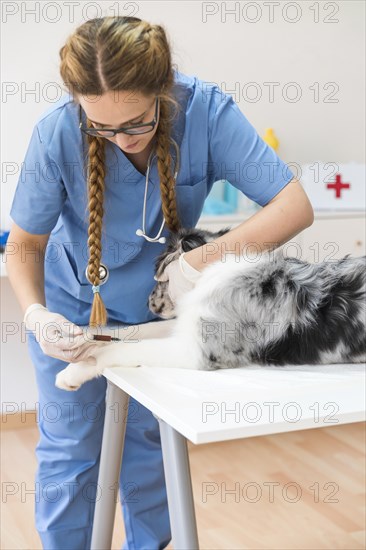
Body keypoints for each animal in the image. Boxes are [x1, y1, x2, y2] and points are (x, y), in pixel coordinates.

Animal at [55, 226, 366, 390]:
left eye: (158, 278)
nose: (147, 302)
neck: (210, 274)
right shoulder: (188, 324)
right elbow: (138, 332)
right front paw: (81, 337)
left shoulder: (196, 351)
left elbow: (122, 349)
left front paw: (73, 372)